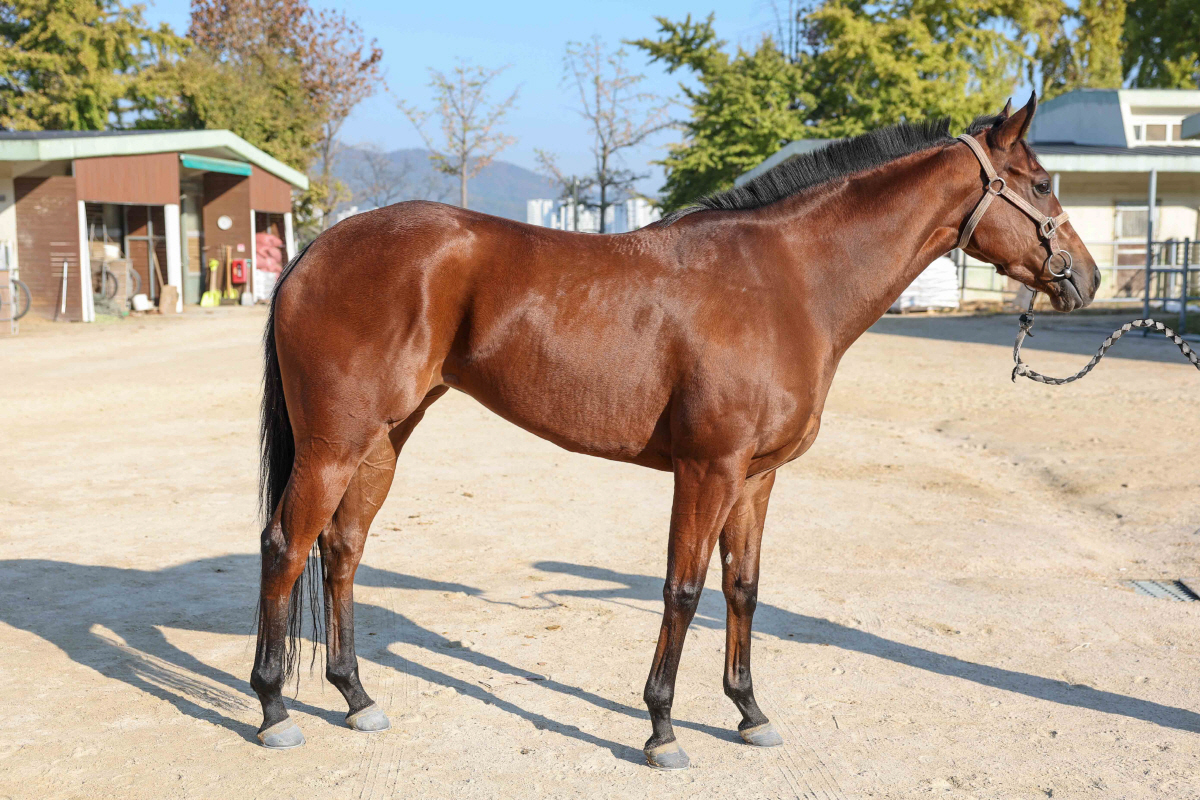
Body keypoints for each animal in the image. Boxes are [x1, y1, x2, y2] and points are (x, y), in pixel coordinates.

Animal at [250, 94, 1099, 768]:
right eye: (1042, 184)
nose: (1086, 280)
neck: (786, 281)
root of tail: (316, 251)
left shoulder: (757, 476)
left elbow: (743, 589)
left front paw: (750, 714)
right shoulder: (708, 468)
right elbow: (684, 590)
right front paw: (662, 728)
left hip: (382, 441)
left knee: (342, 548)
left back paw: (356, 698)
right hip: (333, 445)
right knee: (286, 547)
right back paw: (274, 709)